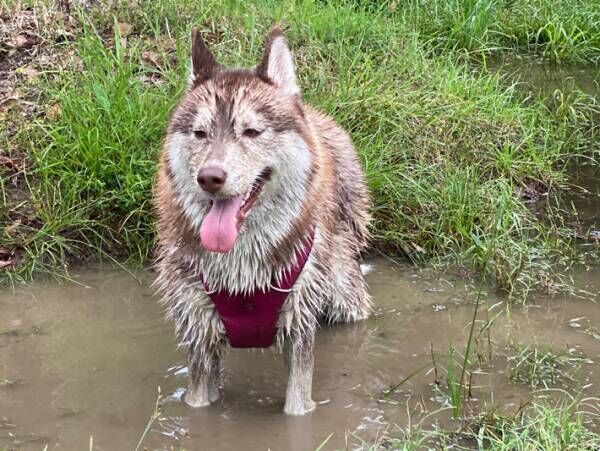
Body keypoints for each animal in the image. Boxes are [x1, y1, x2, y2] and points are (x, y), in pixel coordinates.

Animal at [154, 26, 370, 416]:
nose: (210, 177)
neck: (242, 272)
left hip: (345, 291)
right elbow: (198, 404)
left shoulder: (300, 326)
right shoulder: (198, 331)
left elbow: (297, 408)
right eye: (200, 133)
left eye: (252, 132)